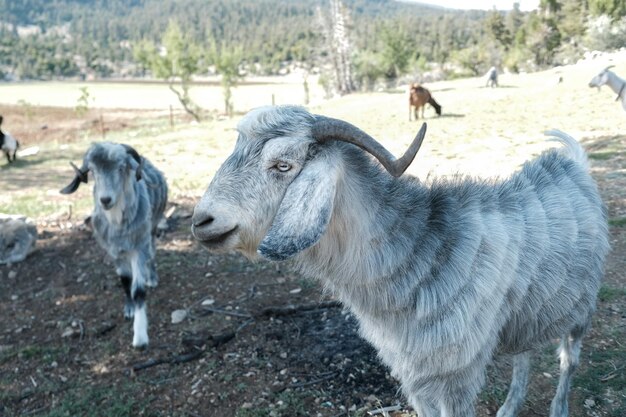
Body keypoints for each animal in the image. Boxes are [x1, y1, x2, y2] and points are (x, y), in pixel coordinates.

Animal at [60, 141, 167, 346]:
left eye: (121, 168)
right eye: (93, 171)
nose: (105, 200)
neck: (118, 224)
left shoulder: (138, 247)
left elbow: (138, 290)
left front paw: (140, 337)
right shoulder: (115, 251)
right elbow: (125, 281)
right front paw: (129, 310)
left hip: (152, 227)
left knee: (152, 251)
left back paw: (152, 277)